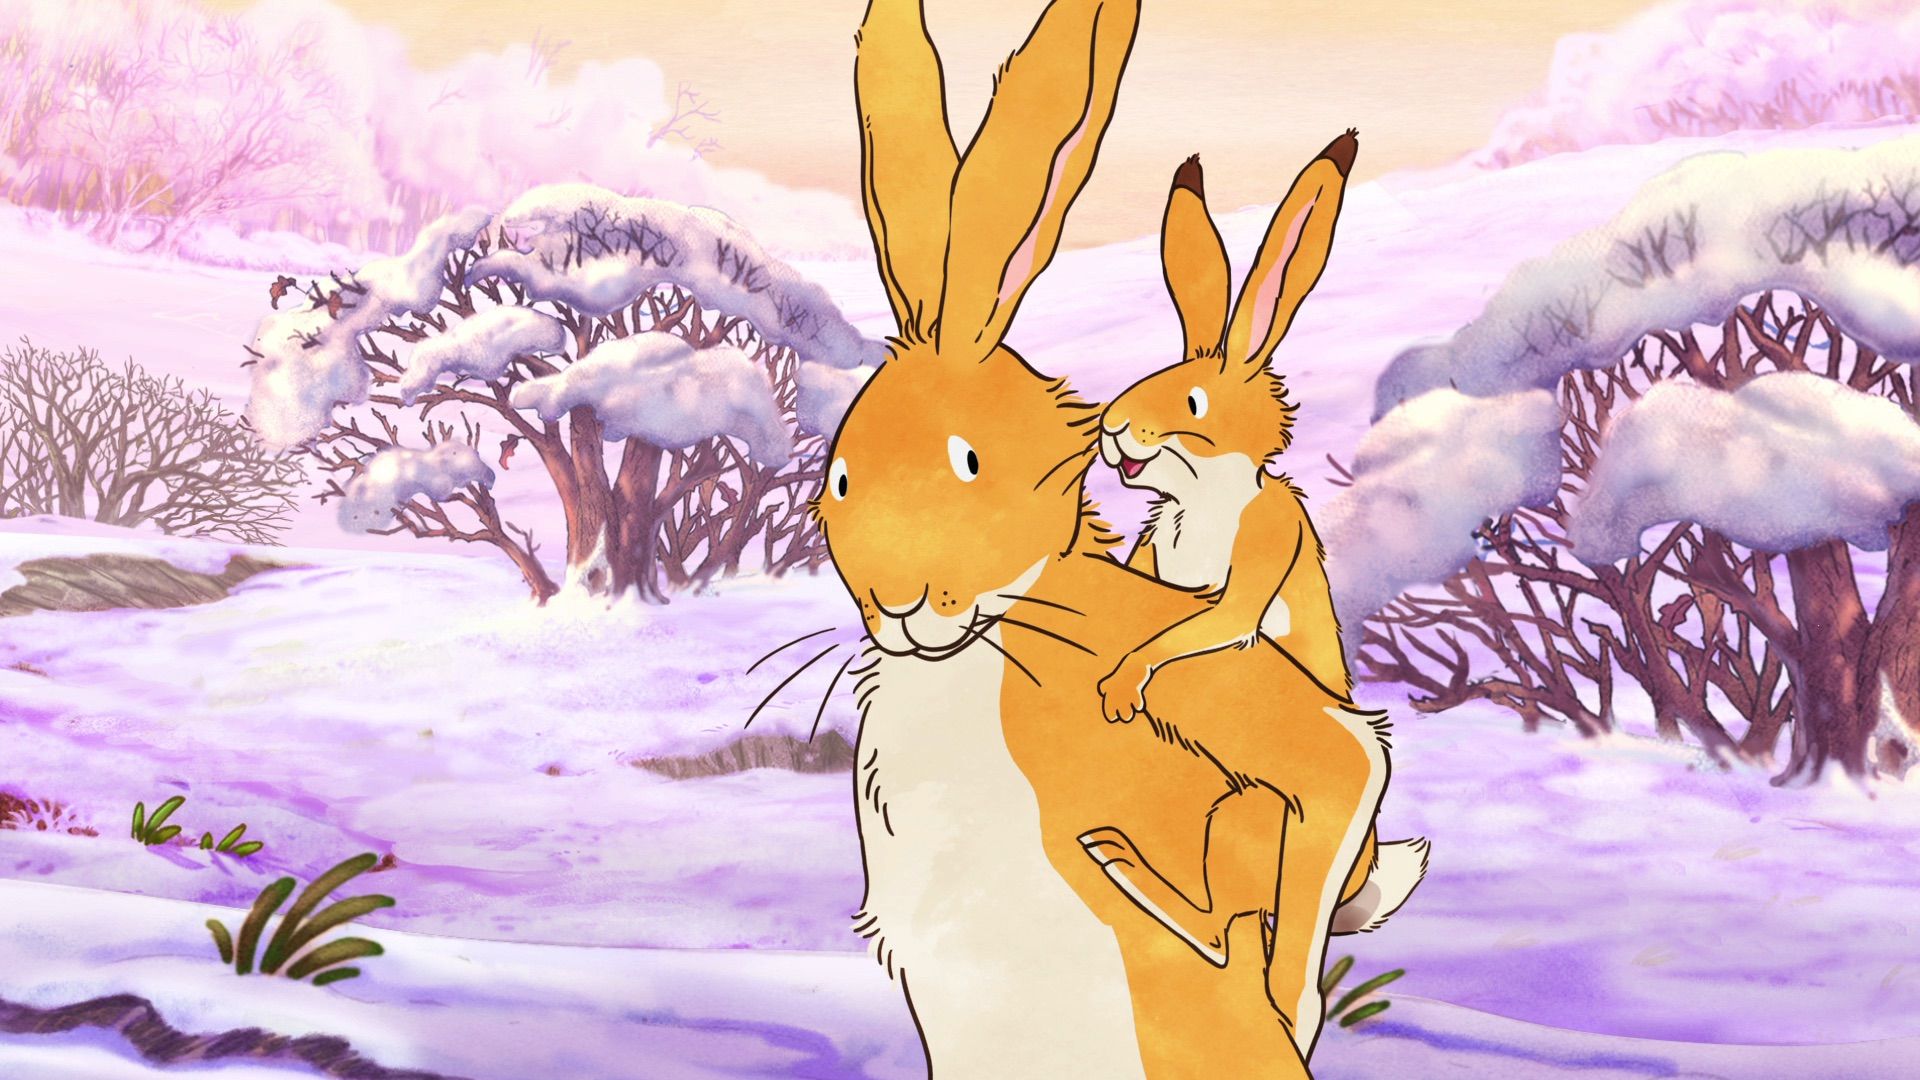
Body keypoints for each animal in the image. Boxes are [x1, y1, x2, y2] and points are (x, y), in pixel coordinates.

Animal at [1082, 140, 1430, 960]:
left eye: (1193, 402)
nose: (1112, 427)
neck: (1205, 493)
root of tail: (1359, 886)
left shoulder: (1261, 551)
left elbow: (1214, 619)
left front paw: (1122, 685)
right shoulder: (1155, 549)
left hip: (1250, 816)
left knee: (1221, 928)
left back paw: (1125, 866)